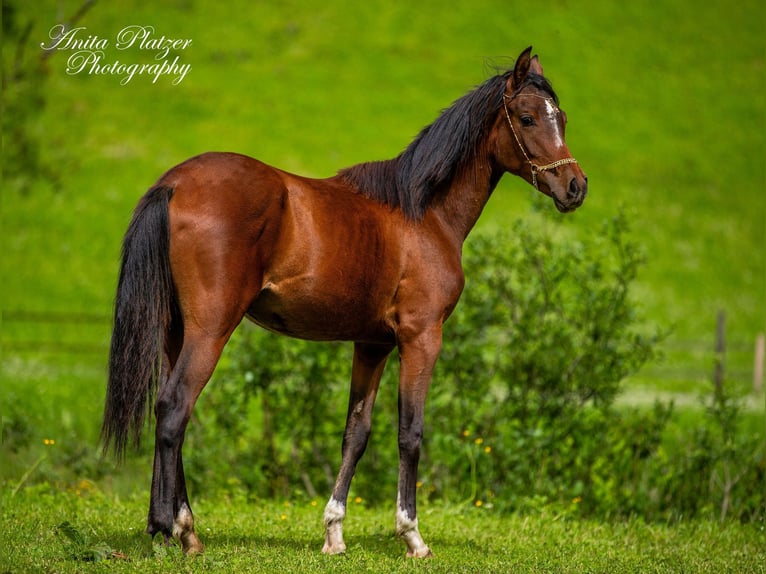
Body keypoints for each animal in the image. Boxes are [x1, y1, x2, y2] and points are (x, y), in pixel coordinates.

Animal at [100, 47, 588, 560]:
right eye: (528, 118)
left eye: (562, 118)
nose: (576, 186)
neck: (424, 214)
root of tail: (174, 184)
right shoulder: (421, 338)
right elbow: (410, 433)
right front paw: (412, 536)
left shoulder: (372, 344)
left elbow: (356, 433)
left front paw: (334, 533)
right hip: (210, 329)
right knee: (176, 409)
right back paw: (177, 527)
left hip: (176, 331)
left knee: (168, 412)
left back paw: (178, 530)